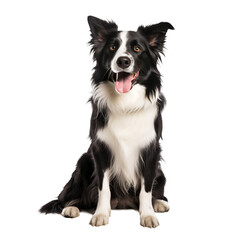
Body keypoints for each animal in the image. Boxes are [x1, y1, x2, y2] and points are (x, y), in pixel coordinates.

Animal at [40, 15, 173, 228]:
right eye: (112, 47)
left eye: (137, 49)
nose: (123, 60)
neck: (126, 102)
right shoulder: (100, 149)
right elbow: (103, 188)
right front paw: (101, 214)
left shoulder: (151, 150)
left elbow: (146, 189)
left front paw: (147, 214)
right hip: (84, 161)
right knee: (67, 198)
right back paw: (71, 208)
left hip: (161, 173)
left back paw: (159, 203)